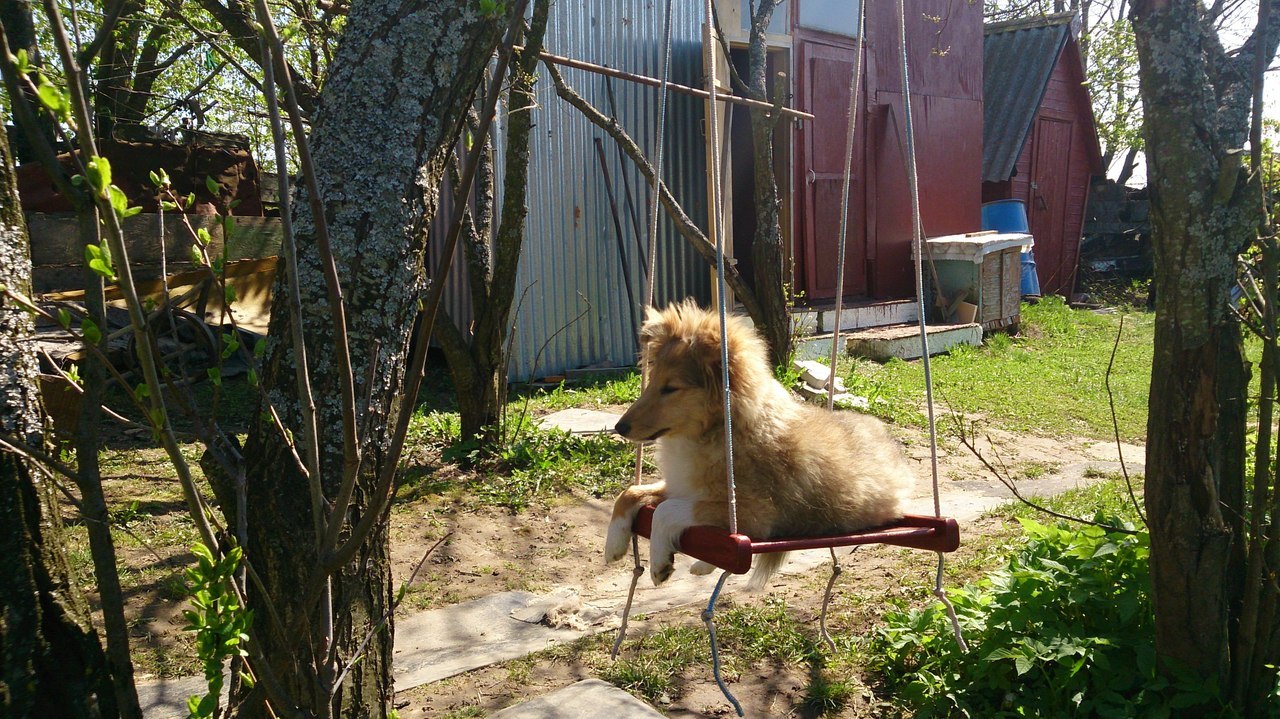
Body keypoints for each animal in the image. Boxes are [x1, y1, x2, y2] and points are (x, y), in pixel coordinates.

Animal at [606, 299, 916, 585]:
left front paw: (659, 563)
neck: (721, 432)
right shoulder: (682, 486)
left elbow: (665, 511)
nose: (620, 428)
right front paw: (613, 546)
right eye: (651, 381)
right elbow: (630, 492)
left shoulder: (754, 514)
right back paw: (700, 565)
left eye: (671, 388)